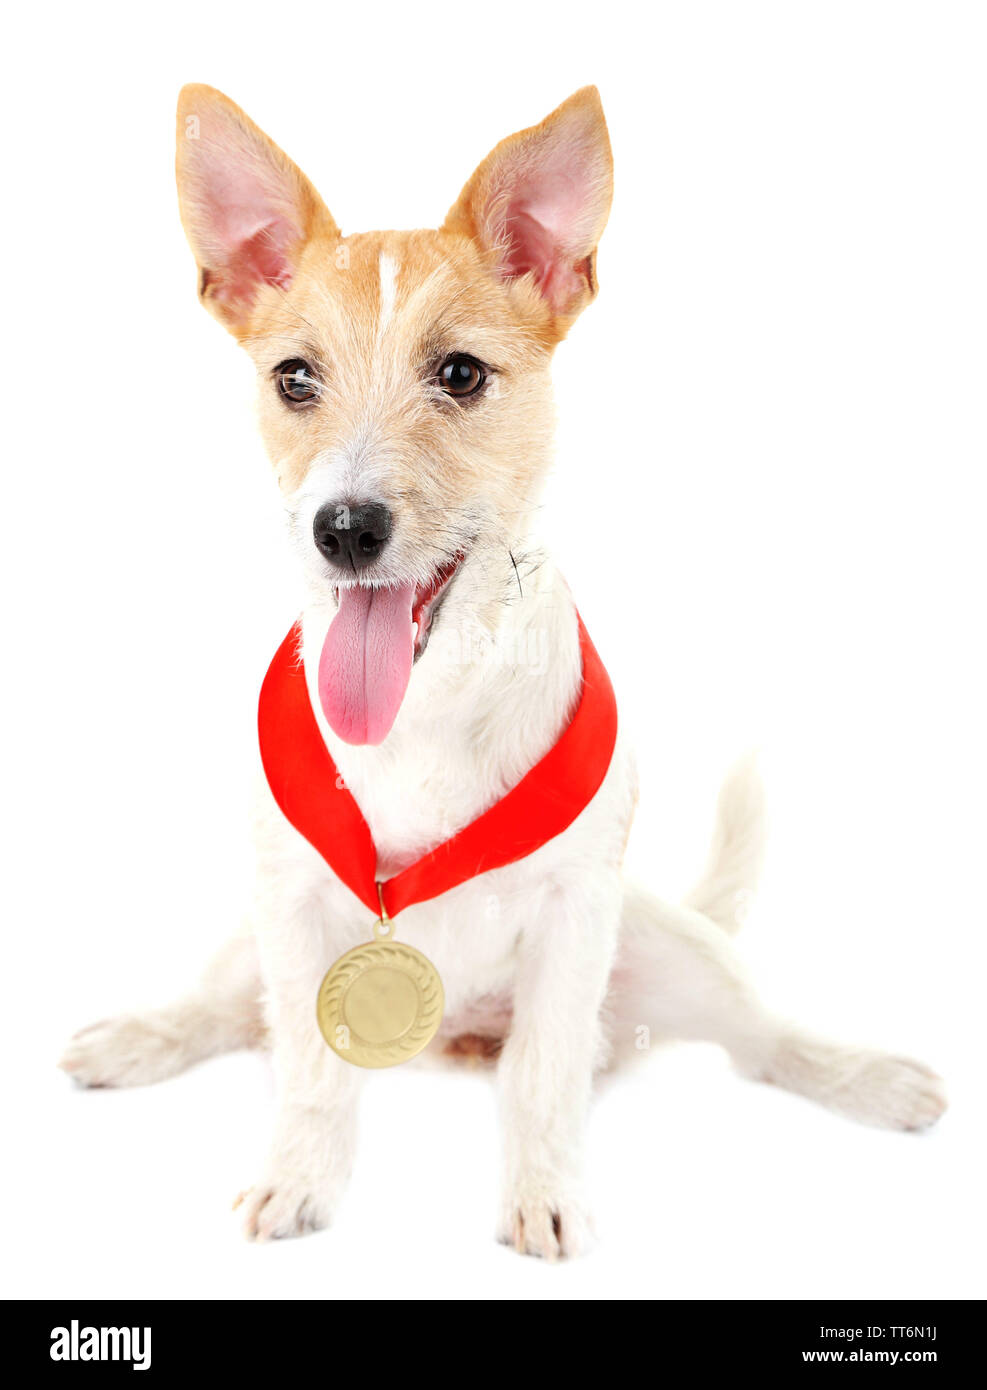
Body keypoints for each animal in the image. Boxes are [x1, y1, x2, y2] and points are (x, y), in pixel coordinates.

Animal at [58, 86, 945, 1262]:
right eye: (294, 377)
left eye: (461, 374)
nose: (345, 529)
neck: (426, 706)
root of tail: (457, 1034)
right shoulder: (291, 904)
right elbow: (307, 1070)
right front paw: (299, 1178)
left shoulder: (573, 918)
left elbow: (545, 1072)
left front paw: (543, 1193)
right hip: (249, 934)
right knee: (226, 1010)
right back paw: (135, 1035)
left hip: (667, 951)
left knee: (758, 1039)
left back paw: (870, 1077)